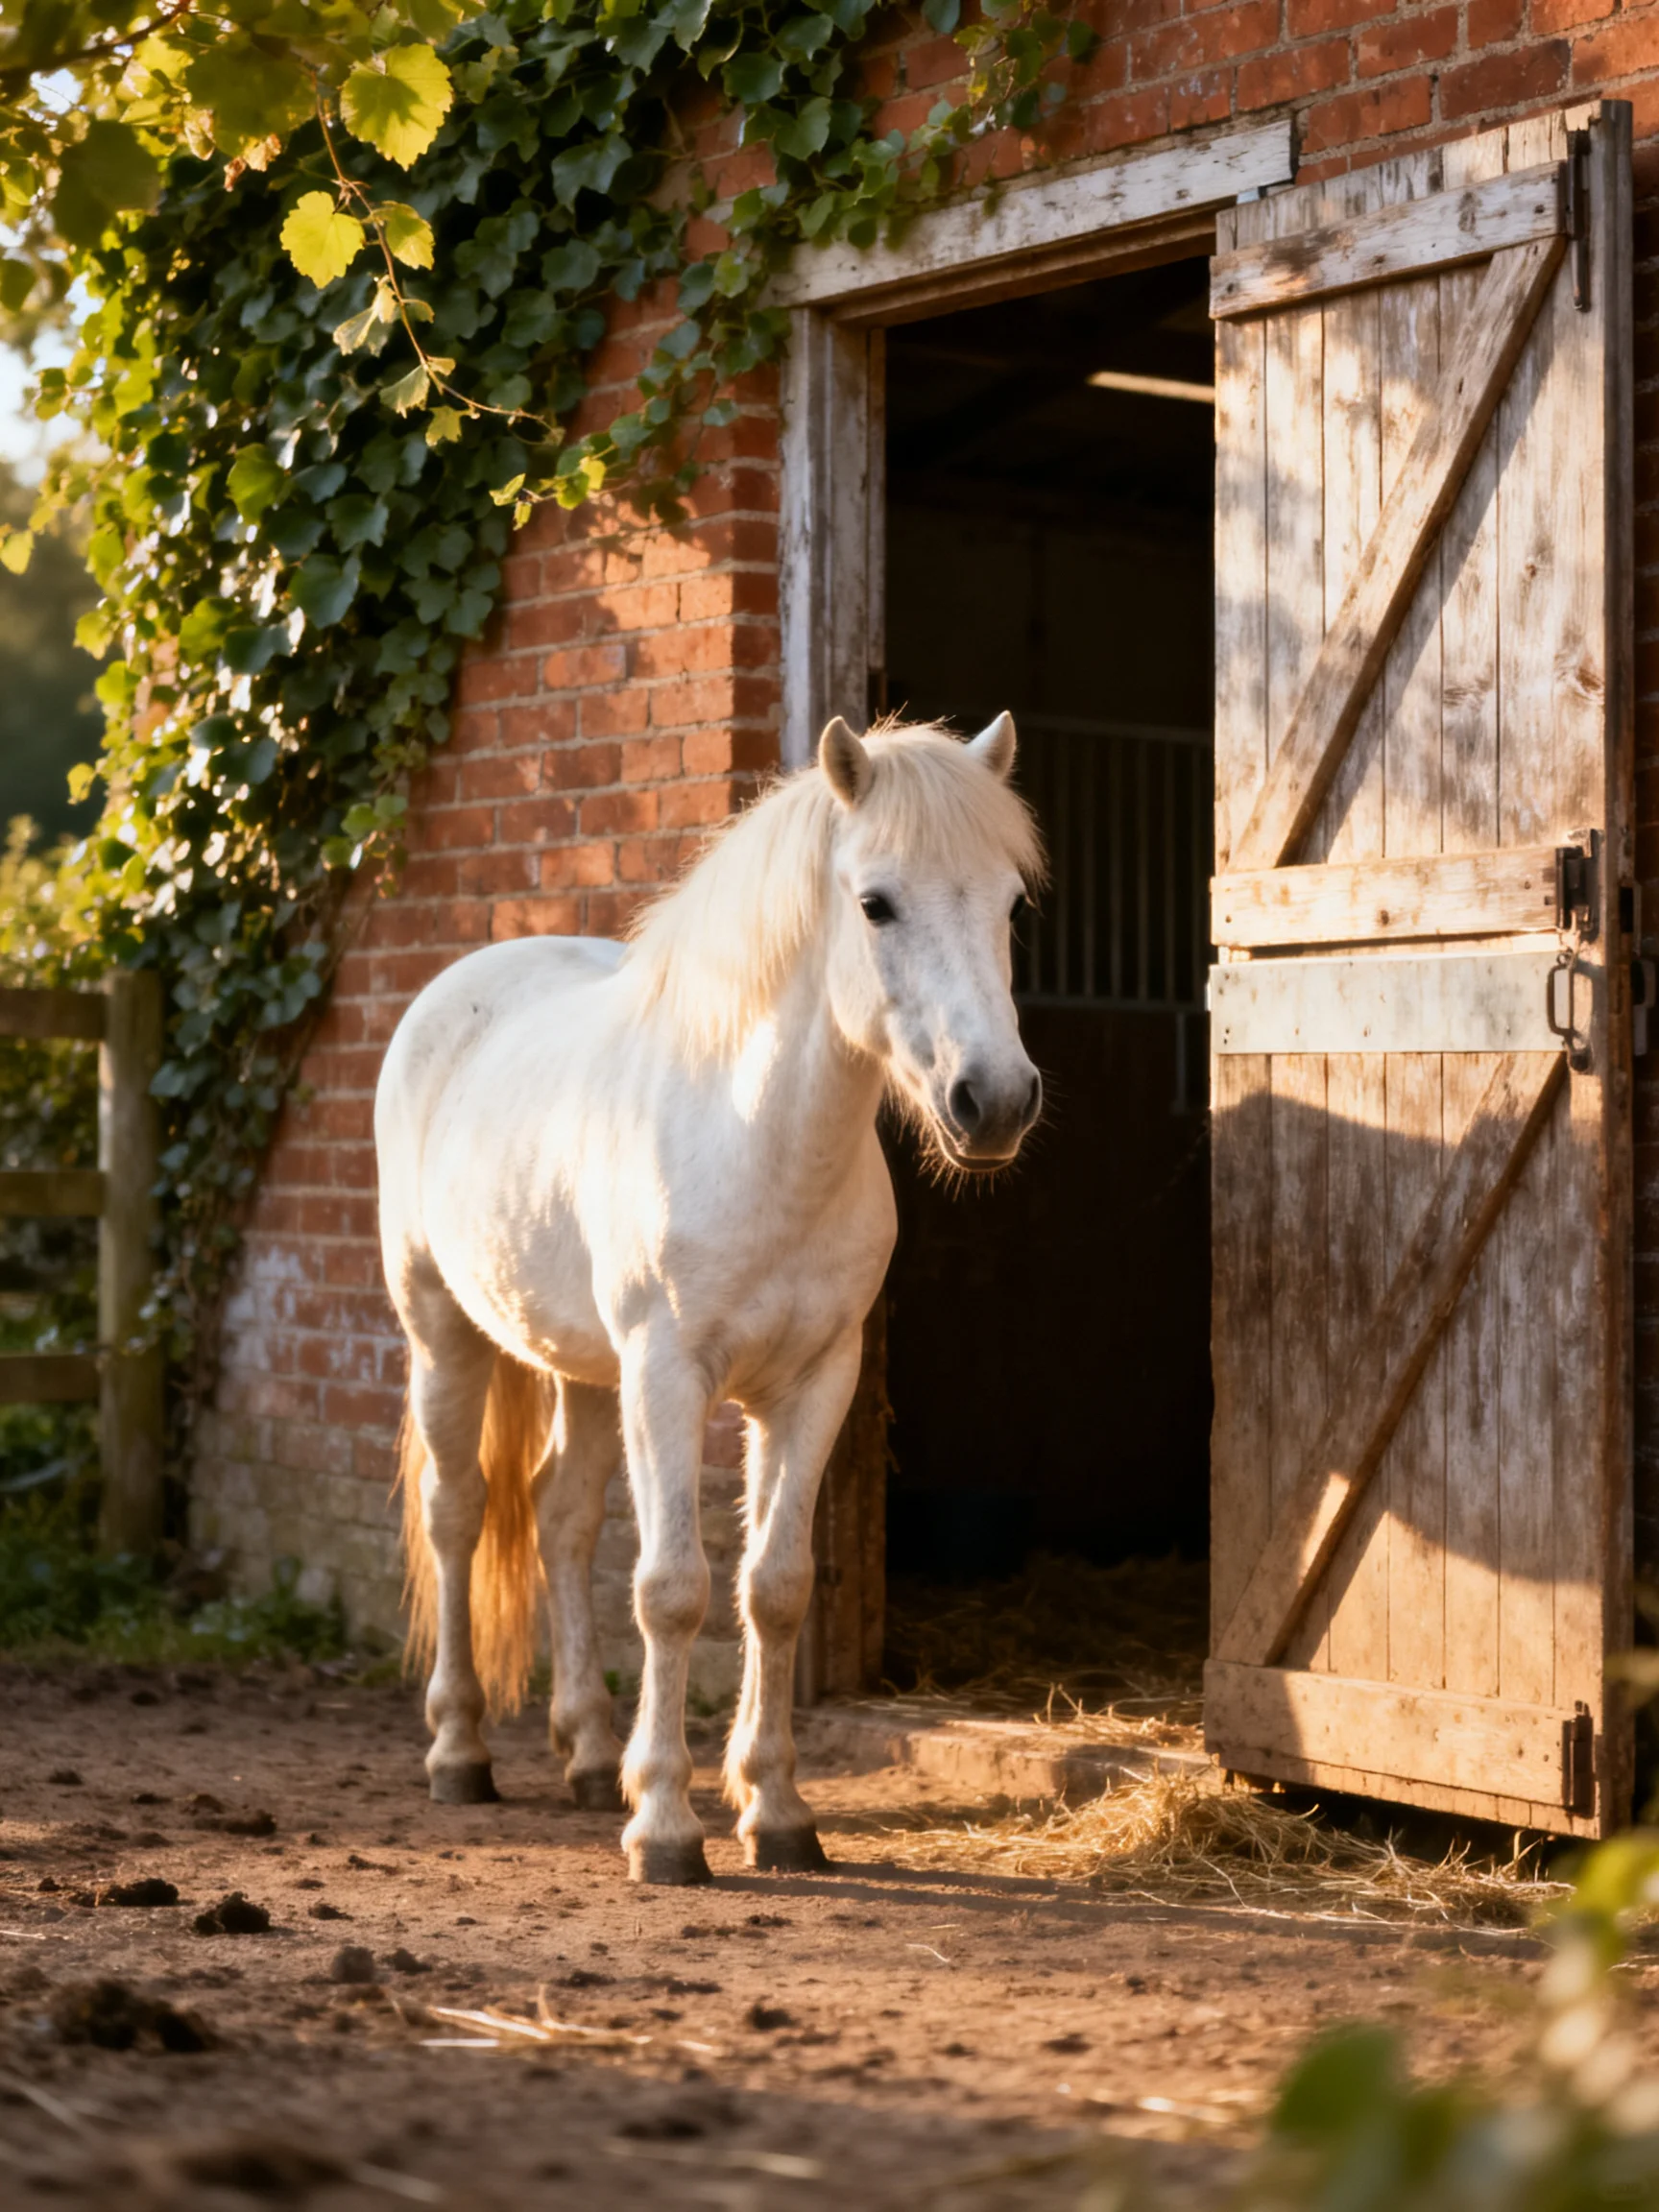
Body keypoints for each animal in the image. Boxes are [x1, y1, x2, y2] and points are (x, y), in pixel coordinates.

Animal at [375, 713, 1046, 1884]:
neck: (758, 1140)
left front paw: (775, 1812)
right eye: (875, 903)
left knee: (558, 1519)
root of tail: (457, 988)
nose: (995, 1101)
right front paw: (666, 1828)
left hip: (583, 1370)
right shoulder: (670, 1376)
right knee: (458, 1514)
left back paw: (590, 1755)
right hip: (444, 1332)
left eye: (1011, 904)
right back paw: (461, 1752)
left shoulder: (814, 1383)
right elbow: (672, 1589)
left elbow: (773, 1588)